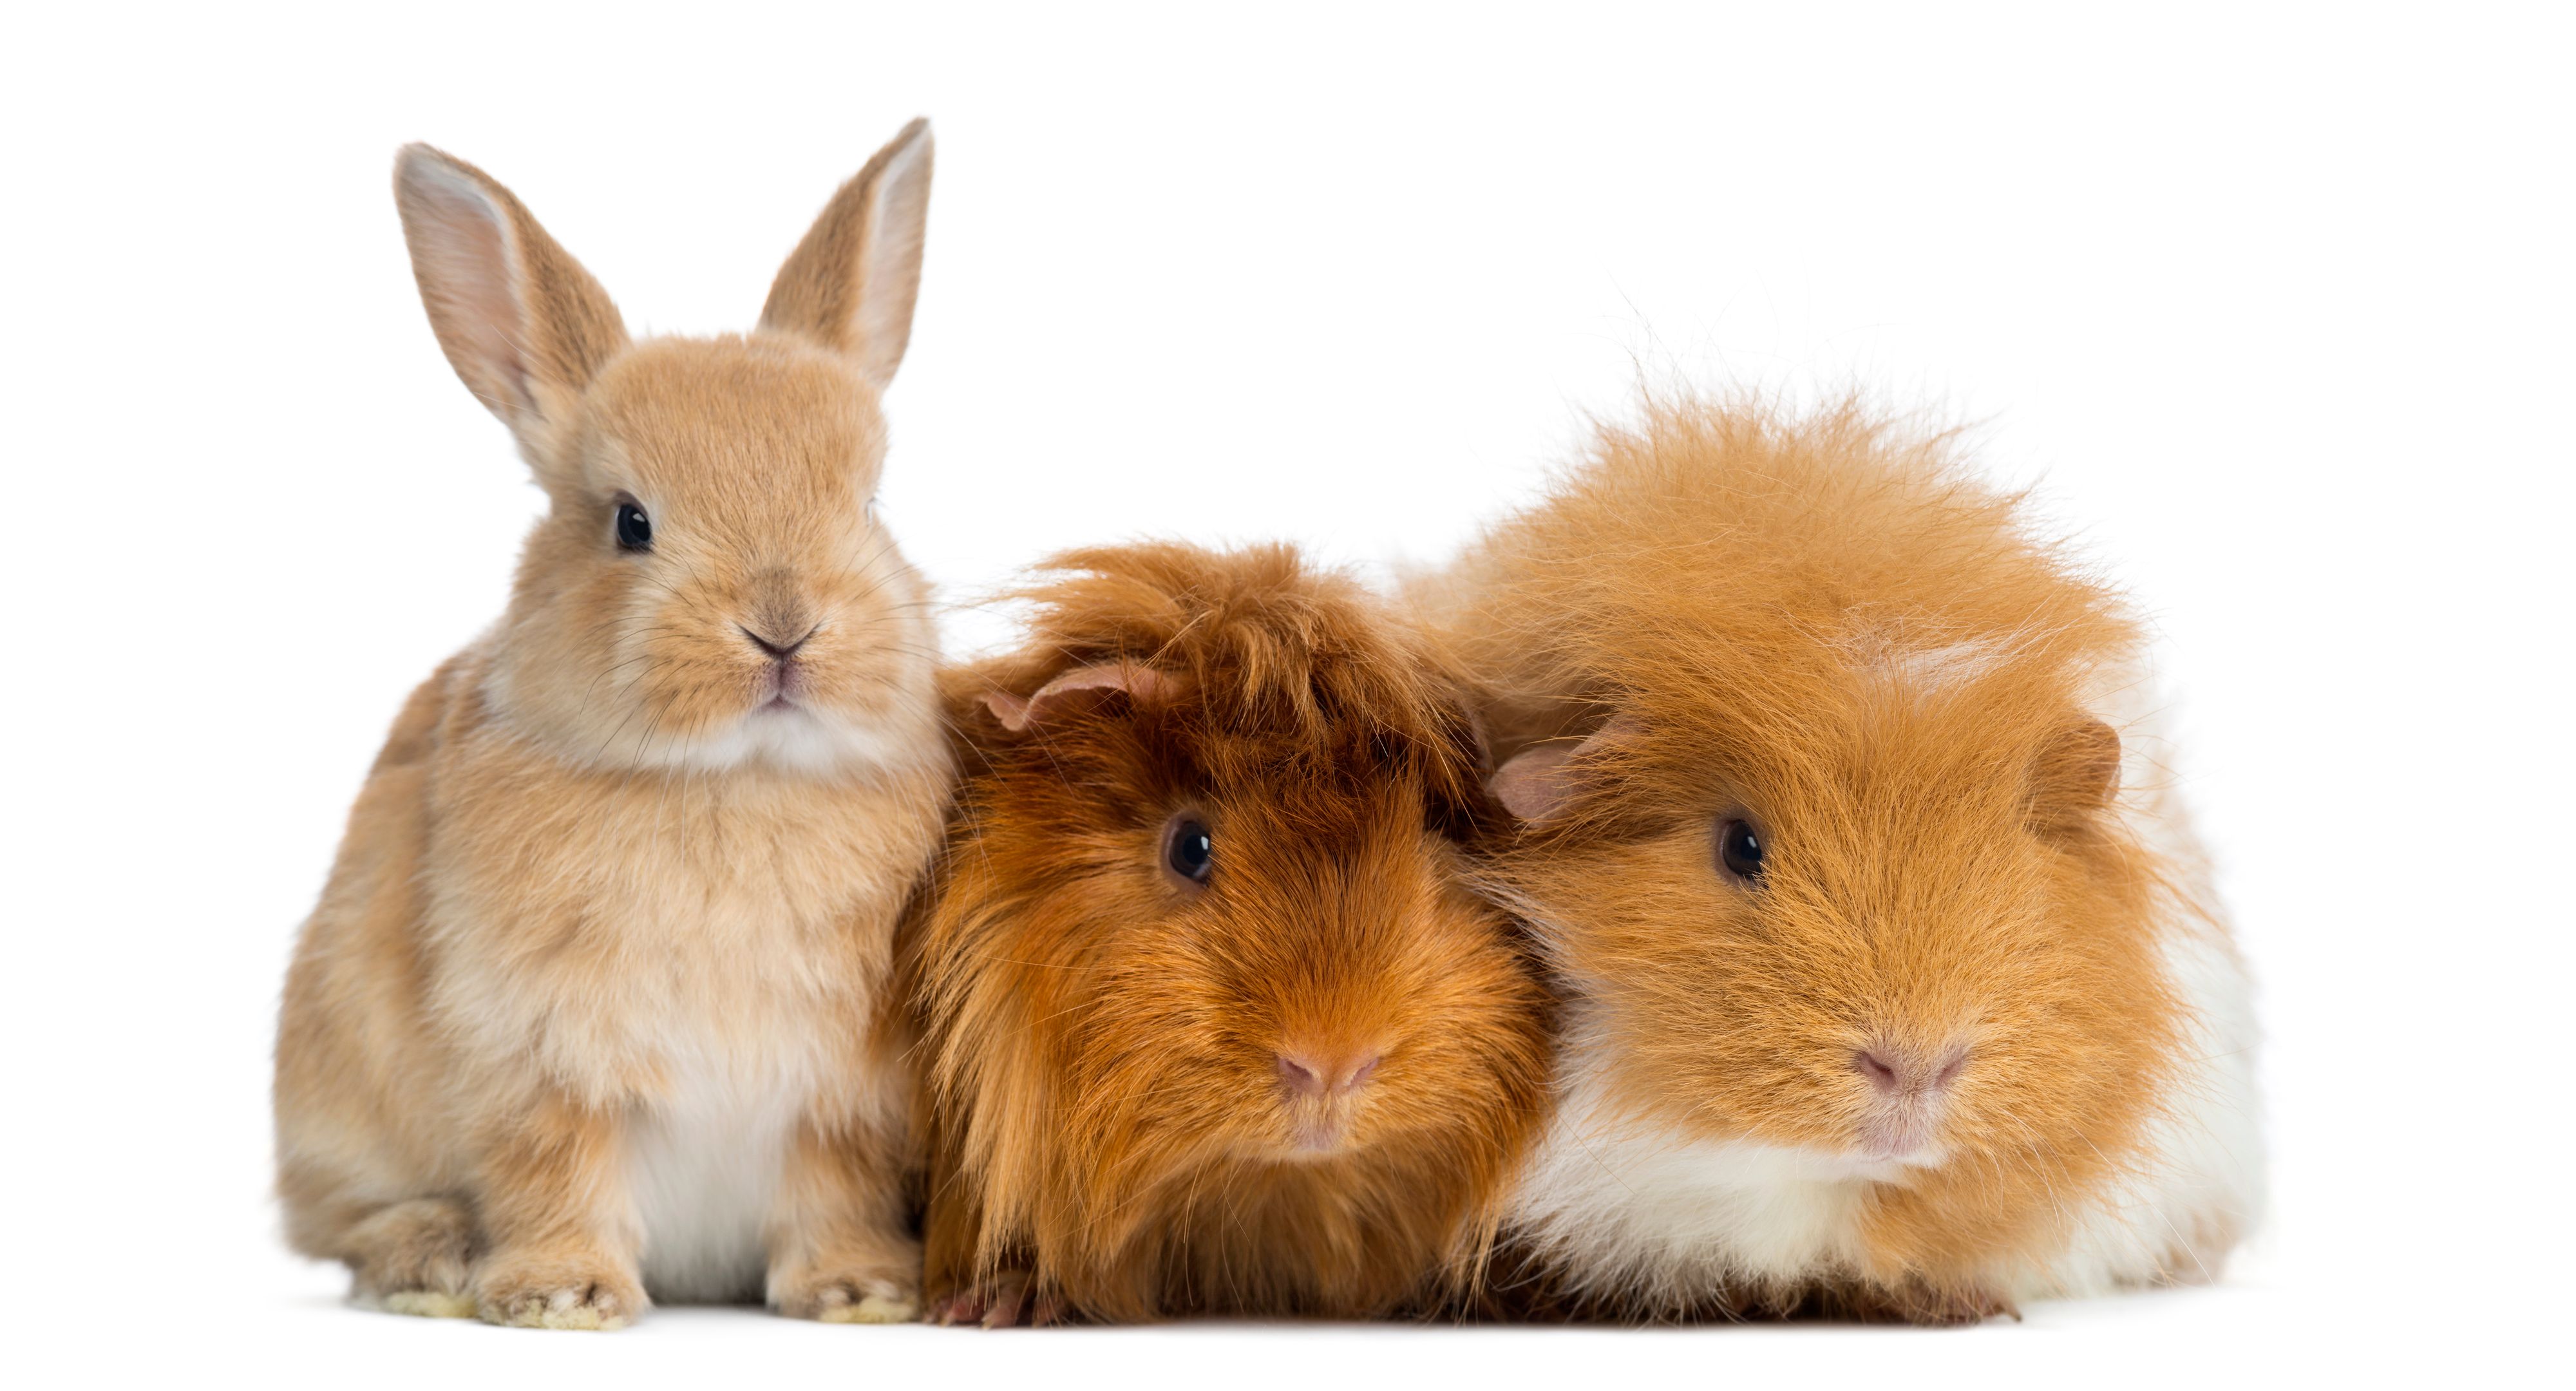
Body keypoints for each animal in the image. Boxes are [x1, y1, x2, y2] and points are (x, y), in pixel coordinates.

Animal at [272, 121, 955, 1329]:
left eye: (871, 506)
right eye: (631, 523)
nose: (784, 627)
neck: (735, 779)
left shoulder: (843, 1098)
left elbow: (834, 1188)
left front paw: (860, 1291)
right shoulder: (534, 1055)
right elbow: (554, 1167)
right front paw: (562, 1297)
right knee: (348, 1225)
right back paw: (432, 1258)